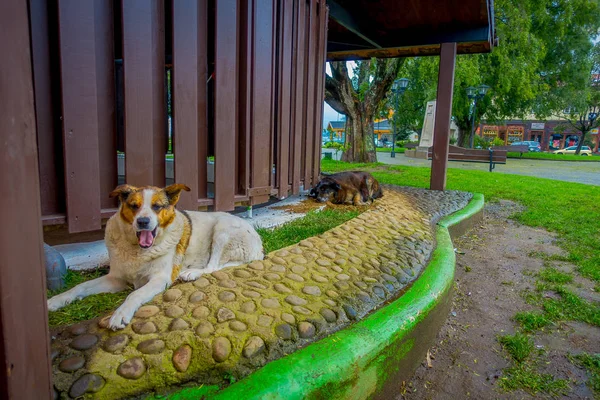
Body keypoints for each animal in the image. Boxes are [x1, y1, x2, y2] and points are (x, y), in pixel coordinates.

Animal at [47, 183, 262, 330]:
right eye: (134, 206)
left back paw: (191, 273)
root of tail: (258, 244)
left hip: (222, 230)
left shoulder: (160, 279)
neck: (137, 251)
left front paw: (120, 314)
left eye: (157, 207)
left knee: (213, 266)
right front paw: (56, 300)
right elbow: (80, 287)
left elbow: (134, 294)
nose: (143, 221)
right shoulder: (115, 279)